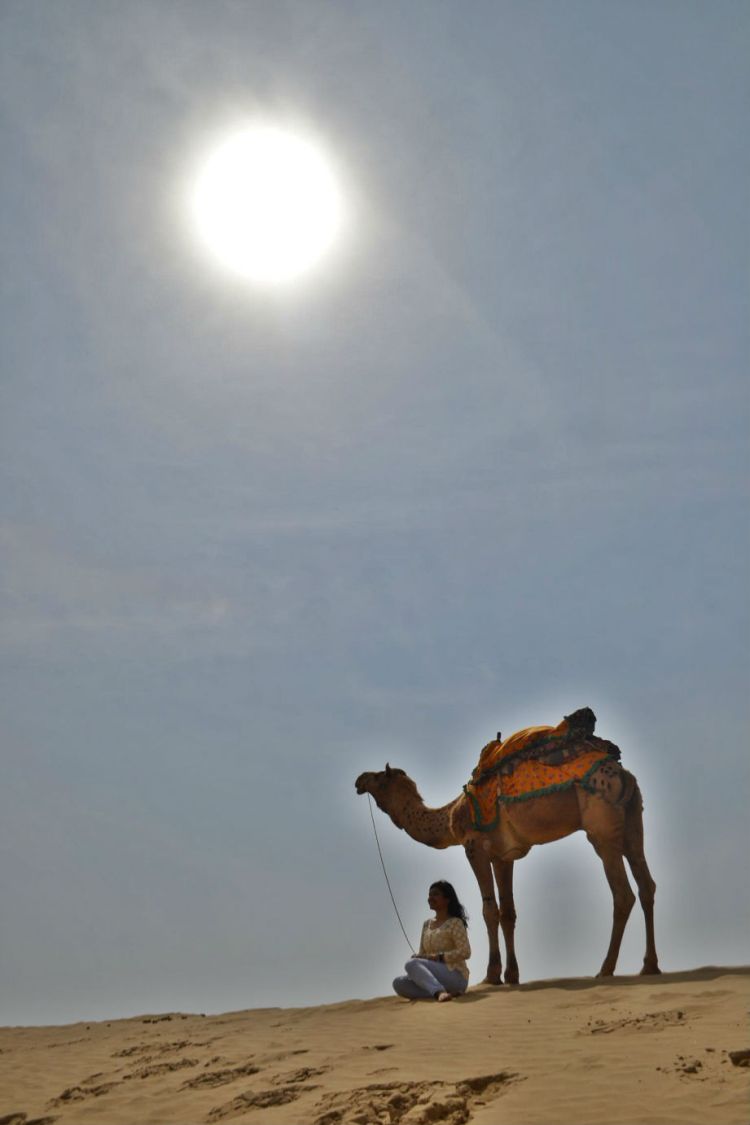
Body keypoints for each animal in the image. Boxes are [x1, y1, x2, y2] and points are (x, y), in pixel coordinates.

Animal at [355, 740, 660, 985]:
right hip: (633, 819)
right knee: (646, 885)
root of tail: (624, 776)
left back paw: (606, 969)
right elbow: (508, 912)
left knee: (623, 893)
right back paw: (649, 966)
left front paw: (491, 976)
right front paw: (512, 975)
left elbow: (489, 910)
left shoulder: (474, 847)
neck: (451, 816)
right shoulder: (503, 856)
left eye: (380, 777)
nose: (359, 779)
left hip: (602, 827)